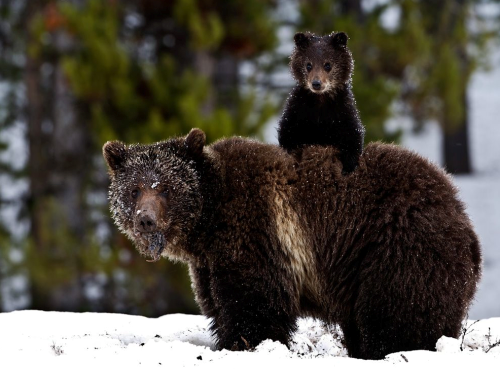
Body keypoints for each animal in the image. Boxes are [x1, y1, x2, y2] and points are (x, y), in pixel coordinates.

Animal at [102, 129, 480, 360]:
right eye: (133, 189)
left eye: (165, 187)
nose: (145, 219)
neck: (208, 222)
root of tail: (457, 205)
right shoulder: (209, 263)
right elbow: (219, 304)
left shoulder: (257, 231)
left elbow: (254, 304)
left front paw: (245, 345)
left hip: (397, 246)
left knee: (399, 312)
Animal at [278, 30, 364, 173]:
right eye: (308, 65)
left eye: (327, 65)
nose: (316, 83)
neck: (320, 101)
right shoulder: (298, 110)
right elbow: (288, 133)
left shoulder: (343, 111)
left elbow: (352, 135)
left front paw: (348, 166)